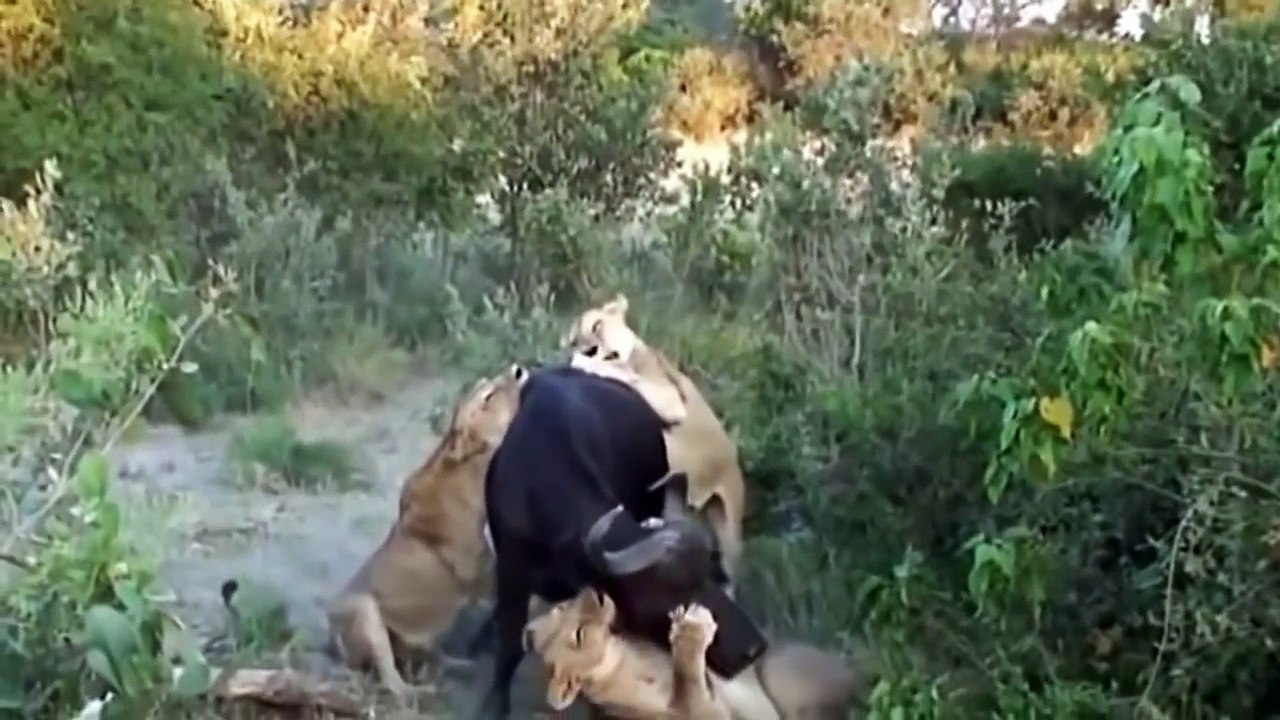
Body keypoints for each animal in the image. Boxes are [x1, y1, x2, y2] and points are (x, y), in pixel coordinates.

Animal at [325, 364, 527, 700]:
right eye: (487, 395)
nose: (518, 370)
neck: (470, 471)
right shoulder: (483, 577)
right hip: (364, 610)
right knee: (392, 683)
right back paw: (422, 691)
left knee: (432, 657)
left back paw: (458, 667)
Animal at [524, 587, 867, 719]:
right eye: (579, 635)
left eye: (561, 605)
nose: (593, 591)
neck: (625, 662)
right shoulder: (710, 714)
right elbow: (688, 687)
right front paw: (690, 629)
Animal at [564, 294, 746, 584]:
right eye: (573, 340)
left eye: (596, 326)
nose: (587, 349)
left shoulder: (671, 400)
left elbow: (619, 372)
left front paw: (584, 363)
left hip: (727, 532)